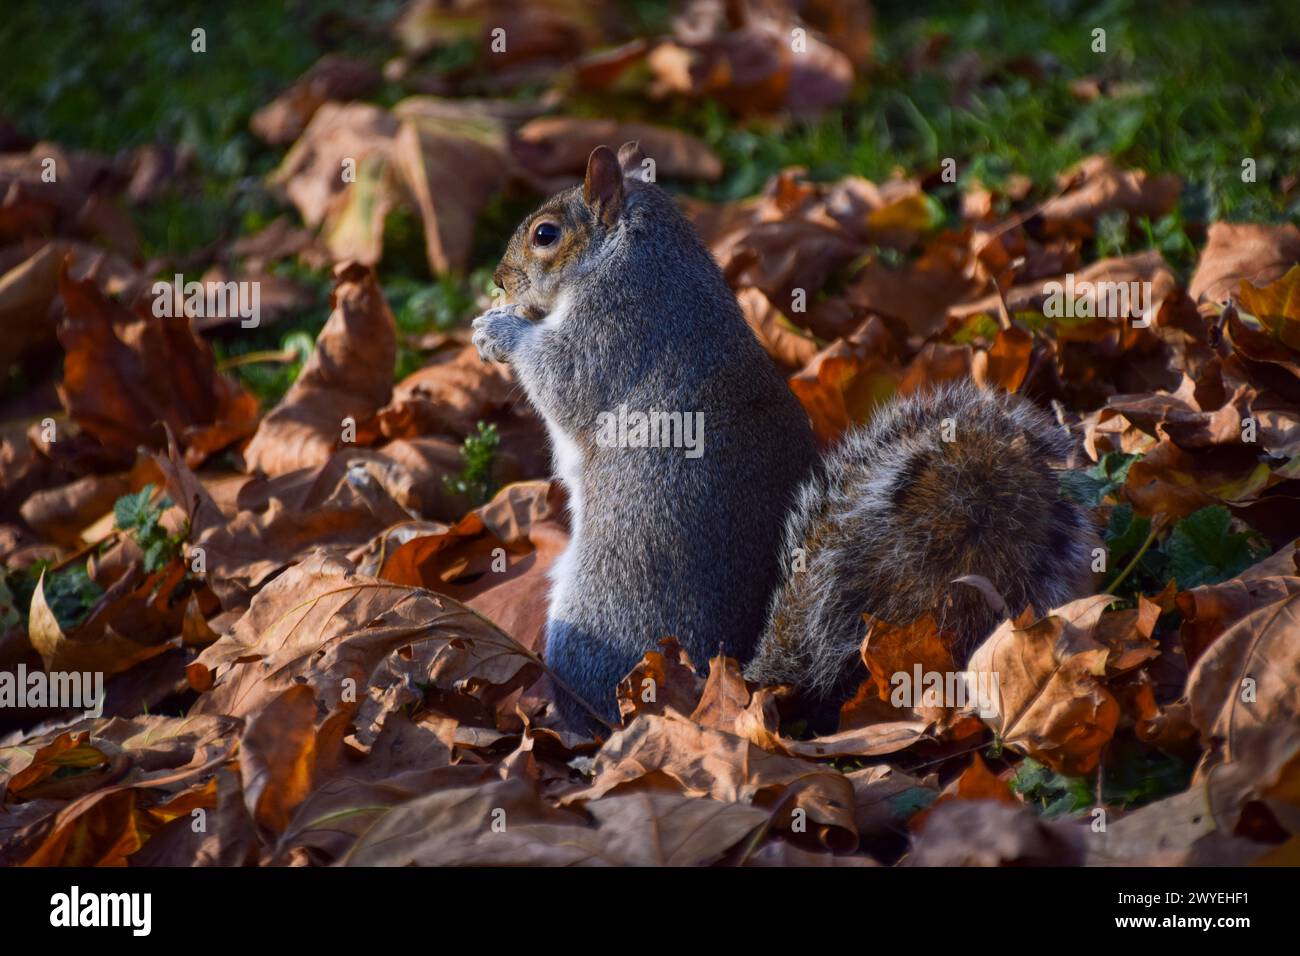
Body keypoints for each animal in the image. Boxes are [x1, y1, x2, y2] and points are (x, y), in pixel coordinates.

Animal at [470, 143, 1097, 733]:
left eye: (545, 234)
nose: (499, 280)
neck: (631, 251)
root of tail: (732, 680)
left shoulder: (612, 327)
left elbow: (562, 379)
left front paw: (499, 330)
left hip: (595, 613)